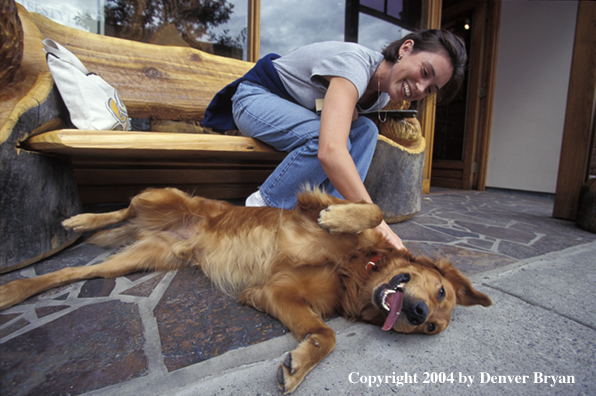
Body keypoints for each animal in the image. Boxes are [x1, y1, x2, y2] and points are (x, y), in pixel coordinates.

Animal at [0, 188, 492, 392]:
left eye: (432, 329)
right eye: (441, 292)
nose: (418, 315)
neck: (355, 269)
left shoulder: (275, 292)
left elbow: (326, 335)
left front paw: (298, 365)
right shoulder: (310, 202)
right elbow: (372, 207)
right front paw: (341, 218)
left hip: (143, 258)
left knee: (69, 273)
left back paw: (17, 289)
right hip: (162, 196)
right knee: (121, 208)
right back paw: (79, 220)